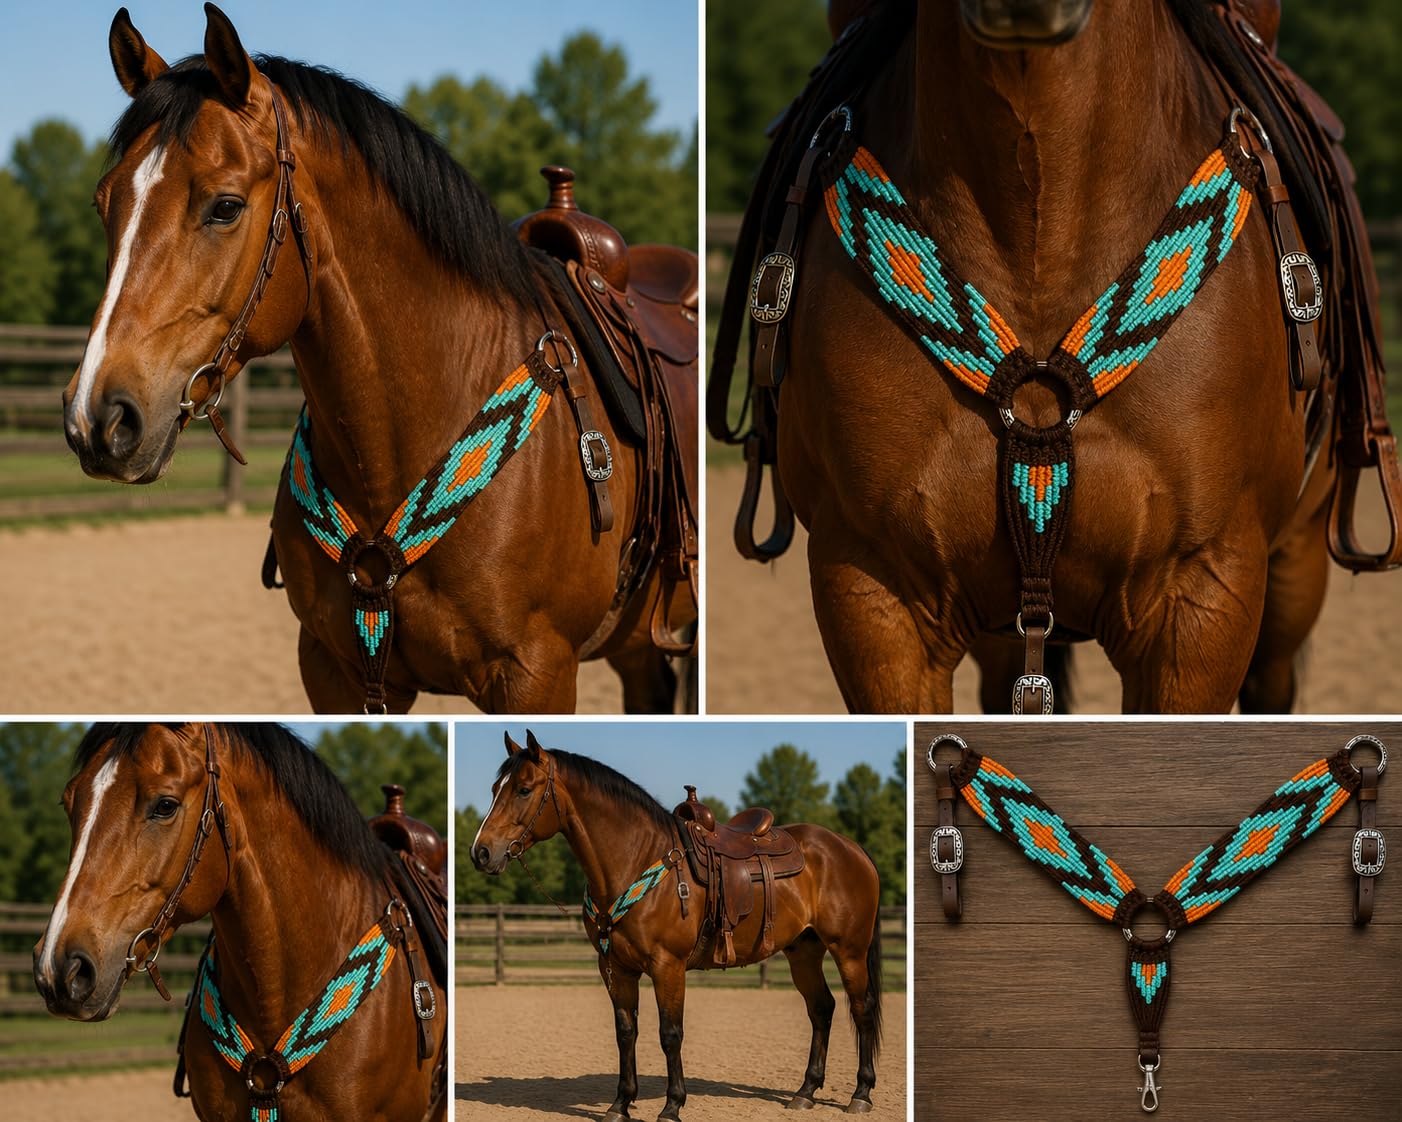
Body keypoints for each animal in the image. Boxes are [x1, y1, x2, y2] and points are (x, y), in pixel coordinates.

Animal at [470, 730, 885, 1120]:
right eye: (494, 789)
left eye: (524, 789)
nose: (481, 852)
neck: (636, 858)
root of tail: (850, 847)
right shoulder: (615, 967)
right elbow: (626, 1032)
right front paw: (621, 1104)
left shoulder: (667, 966)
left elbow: (670, 1034)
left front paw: (672, 1106)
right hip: (803, 951)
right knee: (822, 1008)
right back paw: (806, 1092)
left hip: (849, 950)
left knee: (861, 1009)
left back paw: (861, 1094)